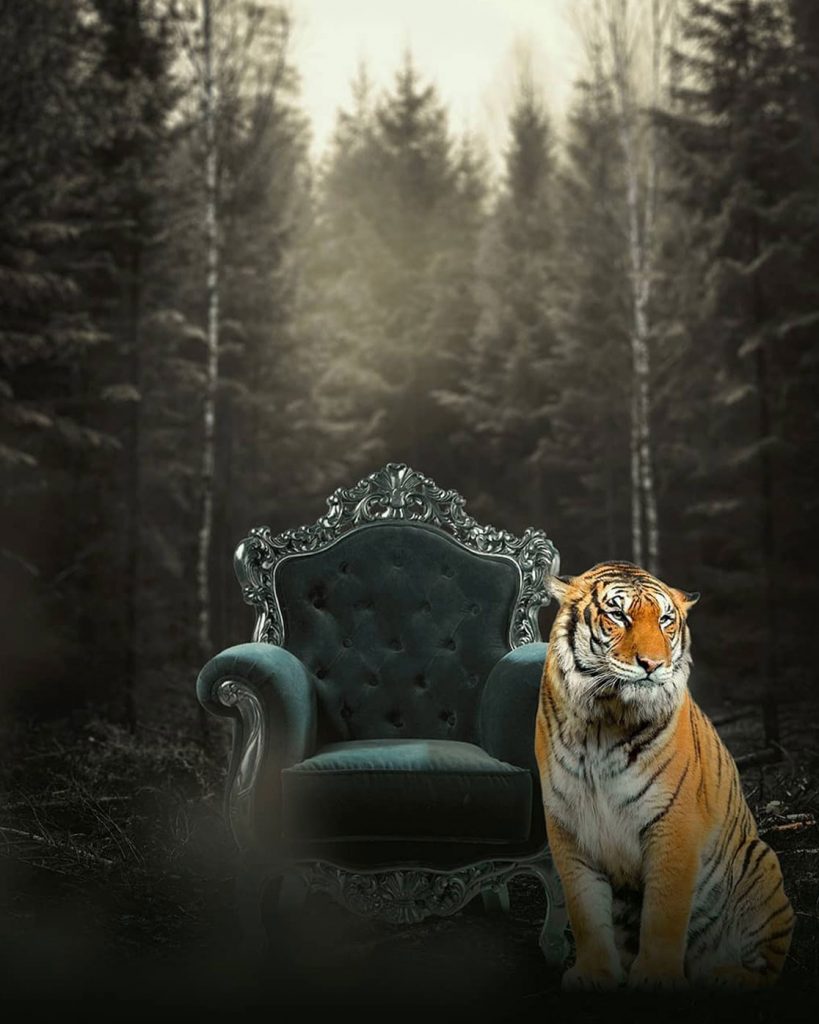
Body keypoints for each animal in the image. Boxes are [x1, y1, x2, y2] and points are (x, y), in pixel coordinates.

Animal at [534, 561, 794, 991]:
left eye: (665, 620)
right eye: (618, 615)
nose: (652, 665)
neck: (602, 723)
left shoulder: (673, 822)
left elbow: (664, 910)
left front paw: (656, 977)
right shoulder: (568, 826)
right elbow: (584, 909)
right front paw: (594, 974)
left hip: (761, 863)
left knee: (767, 968)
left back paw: (726, 976)